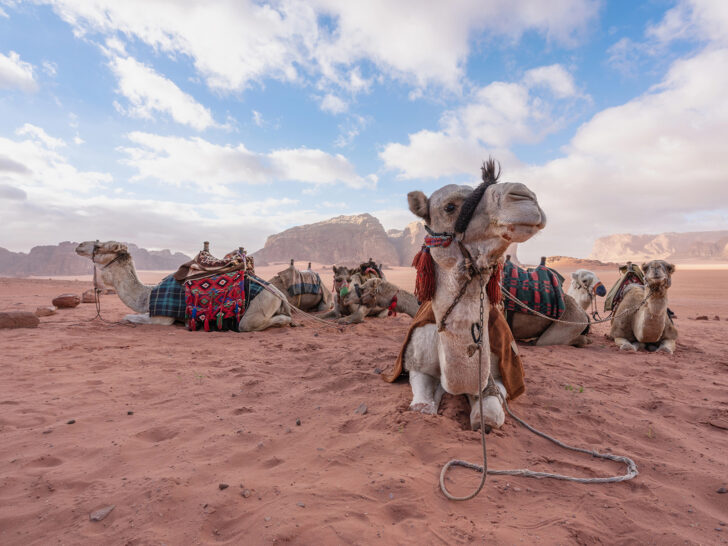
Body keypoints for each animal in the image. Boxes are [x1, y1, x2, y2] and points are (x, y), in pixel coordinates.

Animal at [74, 240, 290, 330]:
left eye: (99, 246)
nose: (79, 245)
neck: (147, 295)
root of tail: (280, 295)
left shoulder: (162, 318)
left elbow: (127, 317)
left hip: (259, 306)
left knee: (249, 324)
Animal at [396, 159, 544, 428]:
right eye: (450, 207)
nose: (524, 196)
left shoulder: (498, 373)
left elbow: (491, 415)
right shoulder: (416, 360)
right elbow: (422, 407)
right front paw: (434, 397)